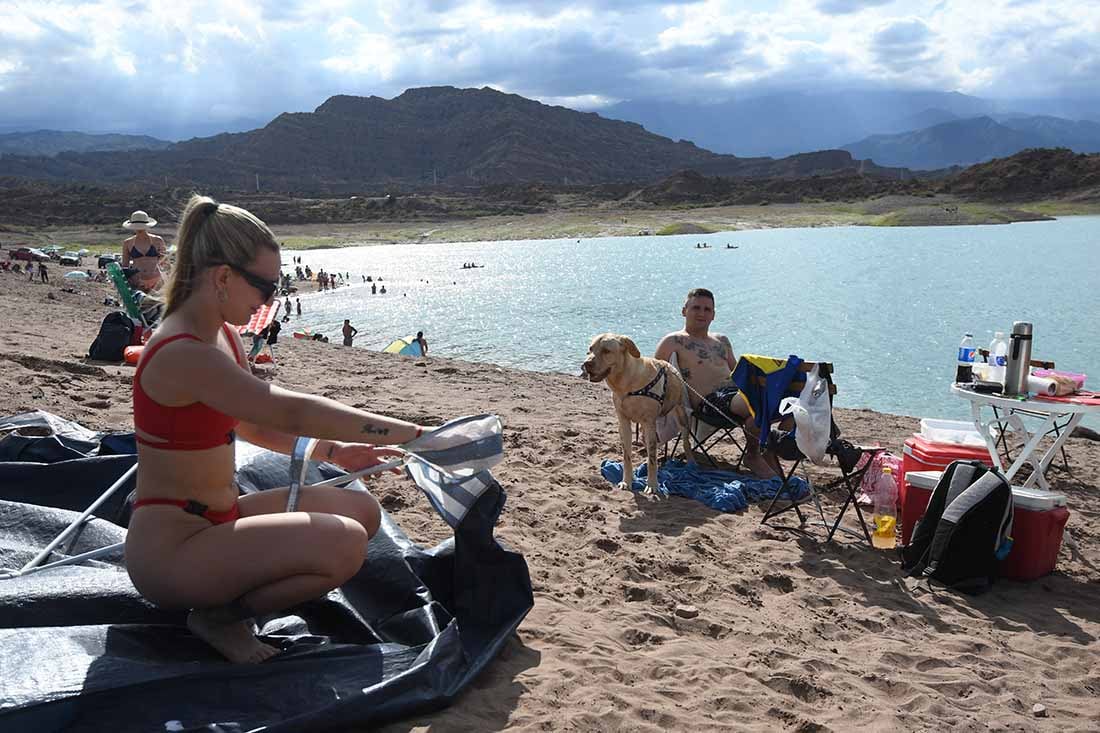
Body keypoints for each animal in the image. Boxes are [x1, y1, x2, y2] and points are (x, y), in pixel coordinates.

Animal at [580, 332, 690, 497]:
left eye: (606, 351)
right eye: (590, 349)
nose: (586, 364)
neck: (626, 384)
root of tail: (670, 365)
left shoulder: (649, 423)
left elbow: (652, 460)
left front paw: (652, 485)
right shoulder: (623, 422)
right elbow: (627, 456)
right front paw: (627, 481)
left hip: (680, 414)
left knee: (685, 443)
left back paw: (692, 464)